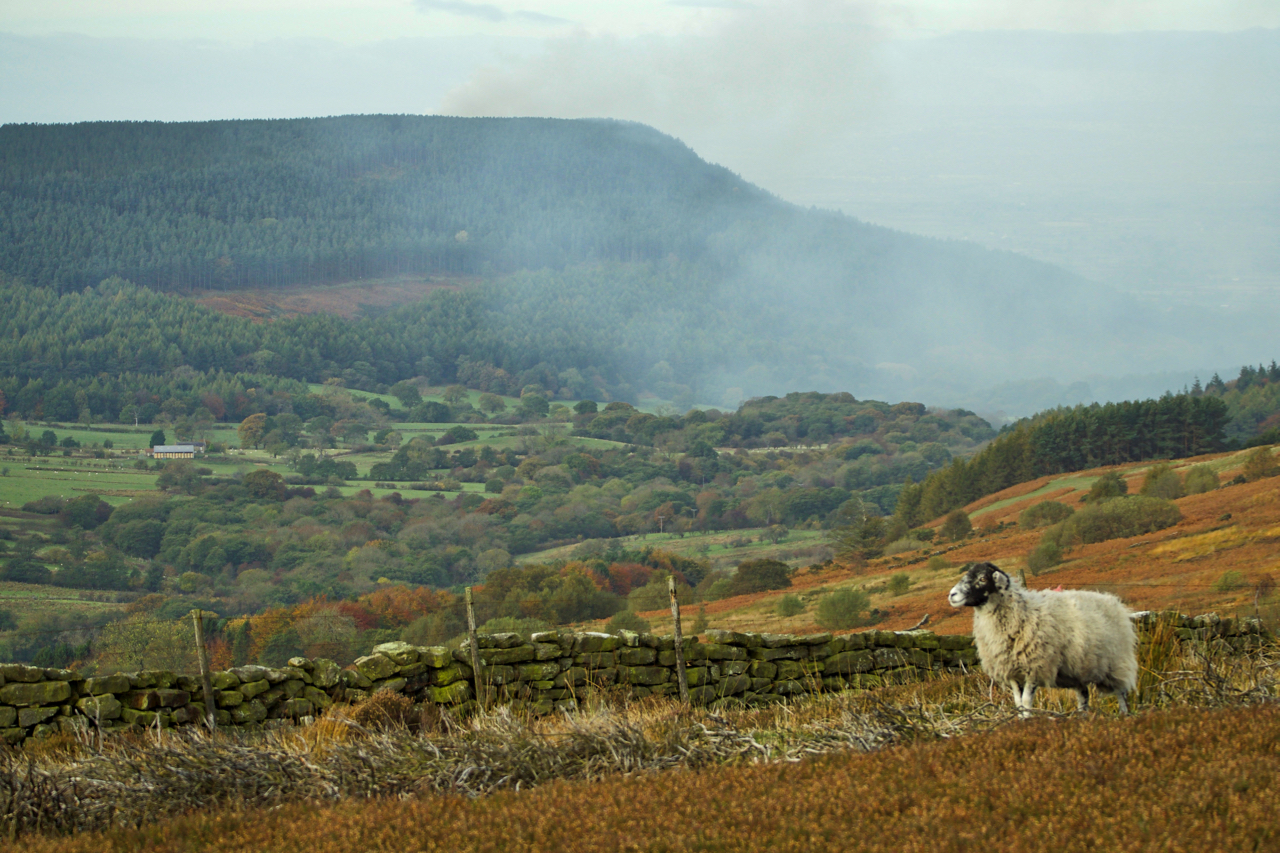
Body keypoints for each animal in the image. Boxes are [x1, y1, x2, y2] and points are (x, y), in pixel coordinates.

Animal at [947, 560, 1136, 712]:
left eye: (982, 579)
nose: (952, 595)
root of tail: (1113, 601)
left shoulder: (1035, 667)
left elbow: (1025, 701)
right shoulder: (1012, 671)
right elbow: (1018, 703)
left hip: (1117, 663)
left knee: (1121, 693)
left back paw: (1124, 716)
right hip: (1077, 669)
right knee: (1084, 695)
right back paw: (1082, 717)